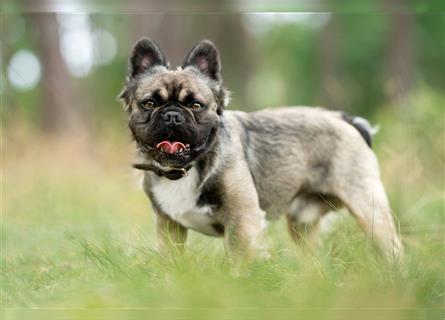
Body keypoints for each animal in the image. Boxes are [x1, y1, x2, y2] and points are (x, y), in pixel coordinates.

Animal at [119, 37, 402, 262]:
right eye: (149, 103)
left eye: (196, 105)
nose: (172, 115)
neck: (185, 169)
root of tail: (346, 120)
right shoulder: (169, 228)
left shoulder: (242, 225)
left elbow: (240, 265)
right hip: (302, 222)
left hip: (367, 208)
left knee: (392, 248)